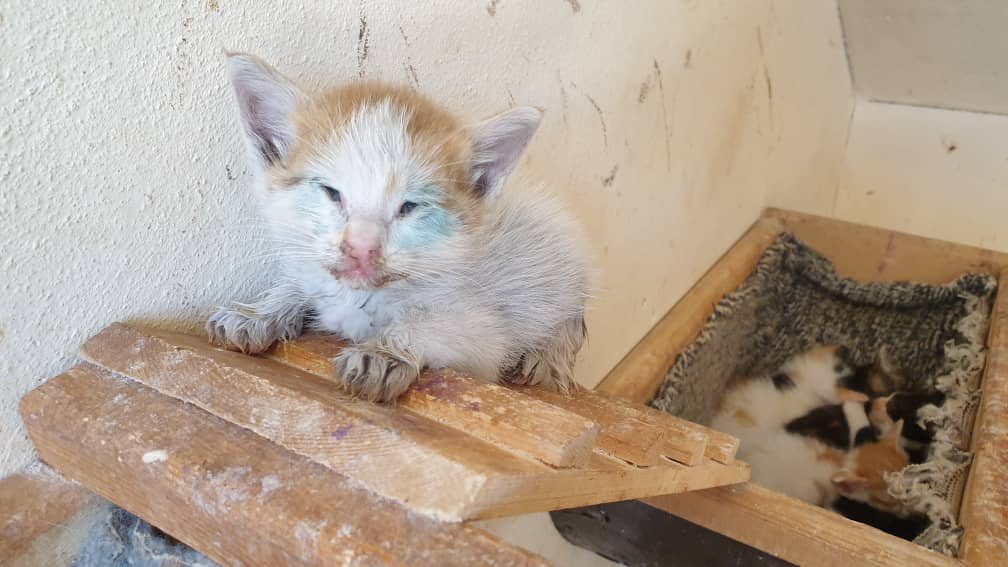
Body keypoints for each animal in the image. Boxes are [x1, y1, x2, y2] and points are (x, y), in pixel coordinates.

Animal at [208, 50, 592, 399]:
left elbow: (434, 326)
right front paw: (258, 313)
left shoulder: (484, 338)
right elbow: (302, 285)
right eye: (332, 193)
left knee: (571, 316)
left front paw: (383, 352)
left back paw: (549, 360)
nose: (361, 249)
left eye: (409, 207)